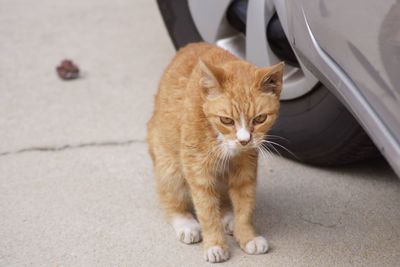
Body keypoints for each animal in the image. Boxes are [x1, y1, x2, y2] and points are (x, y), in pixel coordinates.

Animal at [148, 42, 284, 264]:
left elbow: (245, 206)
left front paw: (247, 236)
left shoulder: (246, 170)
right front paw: (215, 244)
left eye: (260, 119)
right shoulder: (198, 173)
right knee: (170, 199)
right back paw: (186, 223)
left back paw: (229, 217)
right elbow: (207, 211)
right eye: (226, 120)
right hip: (170, 167)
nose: (244, 140)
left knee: (223, 200)